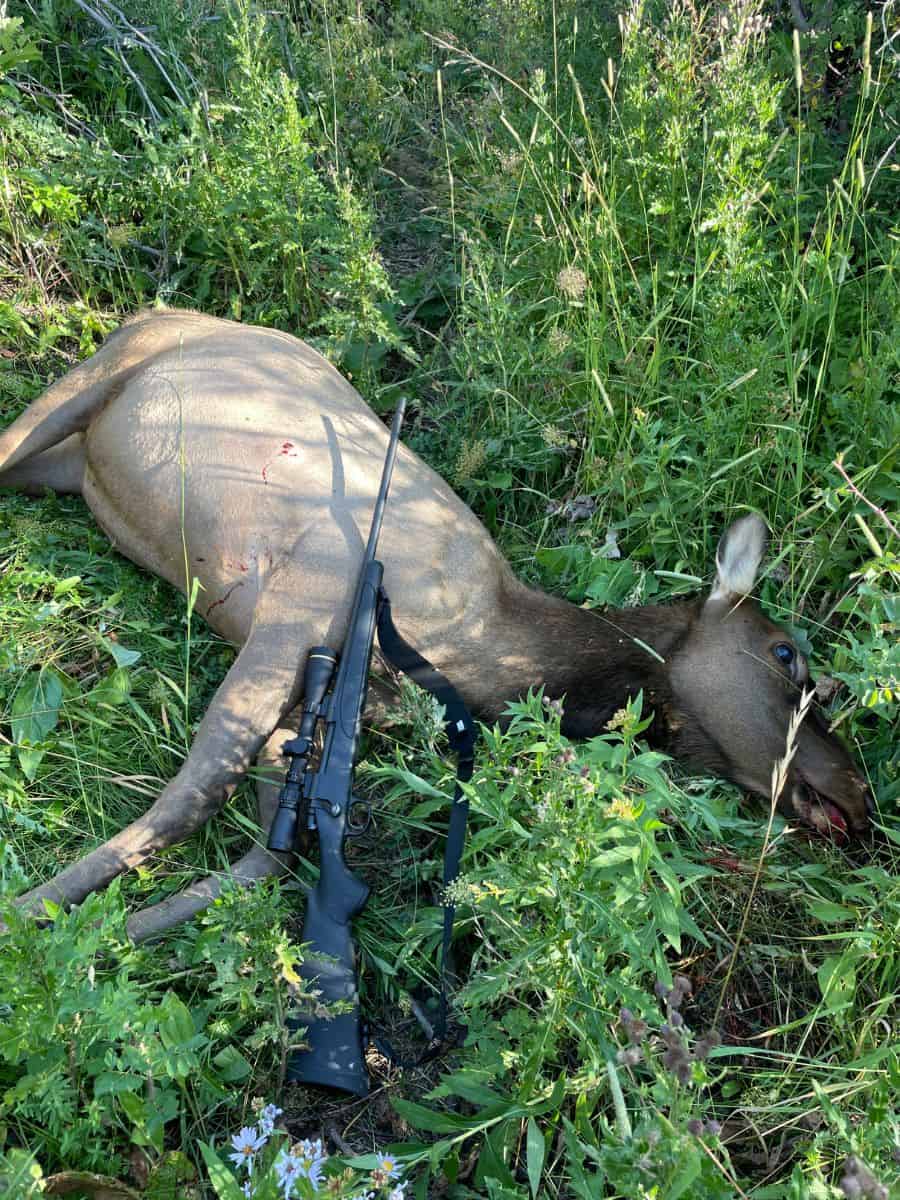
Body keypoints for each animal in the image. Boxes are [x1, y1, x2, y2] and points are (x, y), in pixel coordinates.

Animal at [0, 309, 872, 942]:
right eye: (786, 654)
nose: (858, 796)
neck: (483, 652)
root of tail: (150, 309)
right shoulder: (303, 594)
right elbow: (191, 797)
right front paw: (34, 917)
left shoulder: (318, 703)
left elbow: (264, 856)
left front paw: (124, 931)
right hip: (90, 382)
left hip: (69, 467)